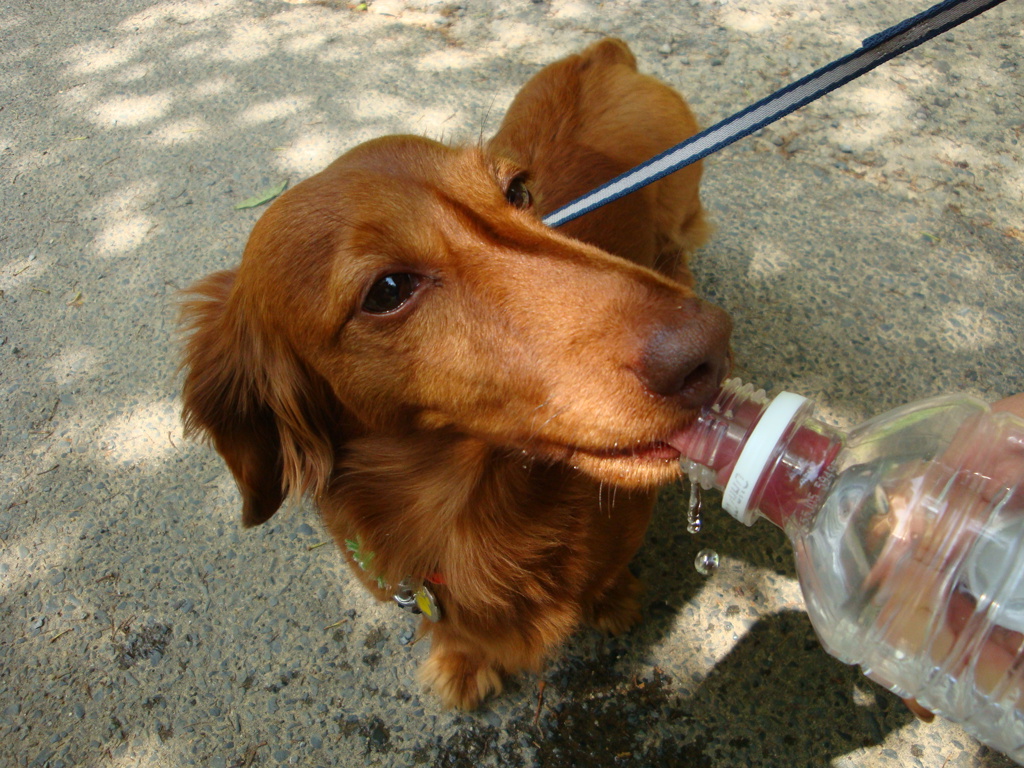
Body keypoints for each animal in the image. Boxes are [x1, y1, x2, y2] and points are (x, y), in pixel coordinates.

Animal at [180, 37, 733, 708]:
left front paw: (614, 598)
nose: (711, 347)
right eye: (388, 290)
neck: (470, 521)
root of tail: (598, 55)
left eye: (518, 193)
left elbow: (607, 576)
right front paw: (464, 659)